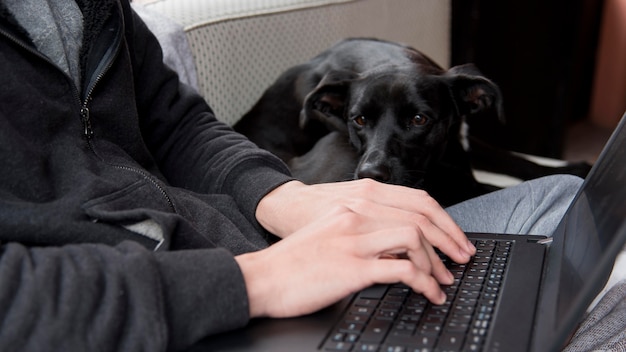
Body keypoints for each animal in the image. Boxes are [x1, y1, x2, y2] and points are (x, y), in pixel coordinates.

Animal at [234, 37, 588, 205]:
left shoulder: (462, 137)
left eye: (419, 119)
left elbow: (517, 160)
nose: (370, 175)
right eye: (358, 120)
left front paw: (577, 167)